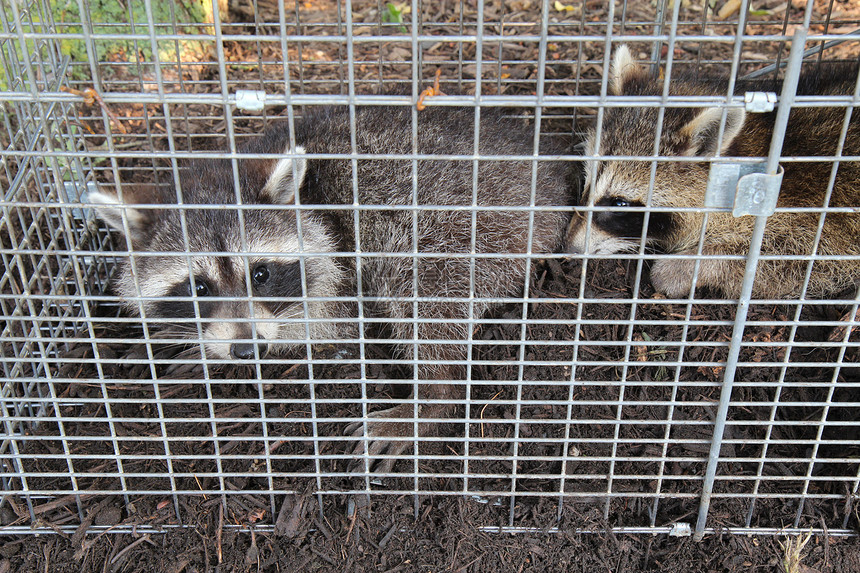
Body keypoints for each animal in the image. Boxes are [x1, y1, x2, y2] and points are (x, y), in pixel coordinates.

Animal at [90, 104, 576, 470]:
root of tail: (550, 178)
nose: (247, 350)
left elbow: (322, 325)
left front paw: (203, 350)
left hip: (466, 226)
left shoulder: (342, 263)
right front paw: (185, 339)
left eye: (261, 275)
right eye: (199, 289)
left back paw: (432, 399)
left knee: (421, 288)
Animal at [564, 45, 860, 300]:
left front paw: (690, 266)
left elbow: (802, 256)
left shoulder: (824, 211)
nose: (568, 247)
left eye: (619, 203)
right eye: (587, 181)